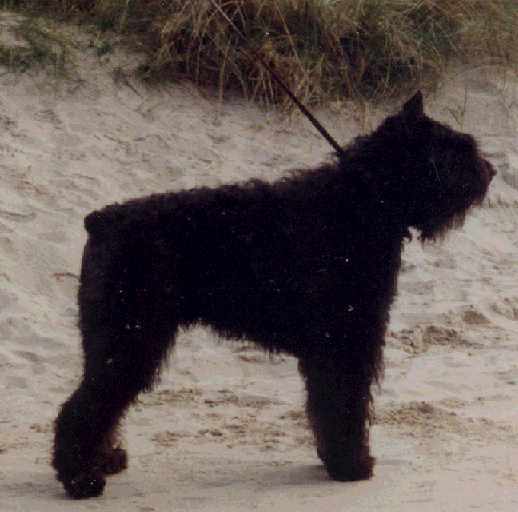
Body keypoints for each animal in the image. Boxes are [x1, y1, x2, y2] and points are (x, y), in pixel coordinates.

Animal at [51, 91, 496, 496]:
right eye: (449, 151)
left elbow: (327, 404)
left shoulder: (336, 345)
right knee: (84, 406)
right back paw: (81, 479)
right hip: (130, 339)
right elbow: (345, 402)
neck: (363, 203)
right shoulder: (347, 341)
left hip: (118, 341)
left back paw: (105, 460)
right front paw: (351, 464)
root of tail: (101, 220)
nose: (490, 171)